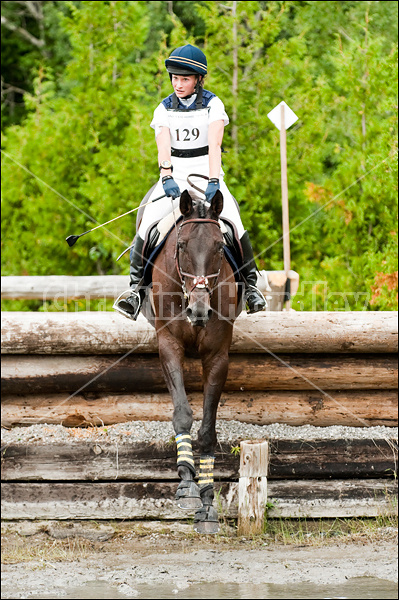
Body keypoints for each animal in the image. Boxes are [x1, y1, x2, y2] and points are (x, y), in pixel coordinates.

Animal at [141, 189, 241, 536]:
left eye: (220, 247)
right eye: (182, 246)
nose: (199, 311)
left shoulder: (217, 356)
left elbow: (208, 429)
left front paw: (208, 504)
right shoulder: (169, 346)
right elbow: (183, 413)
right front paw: (187, 484)